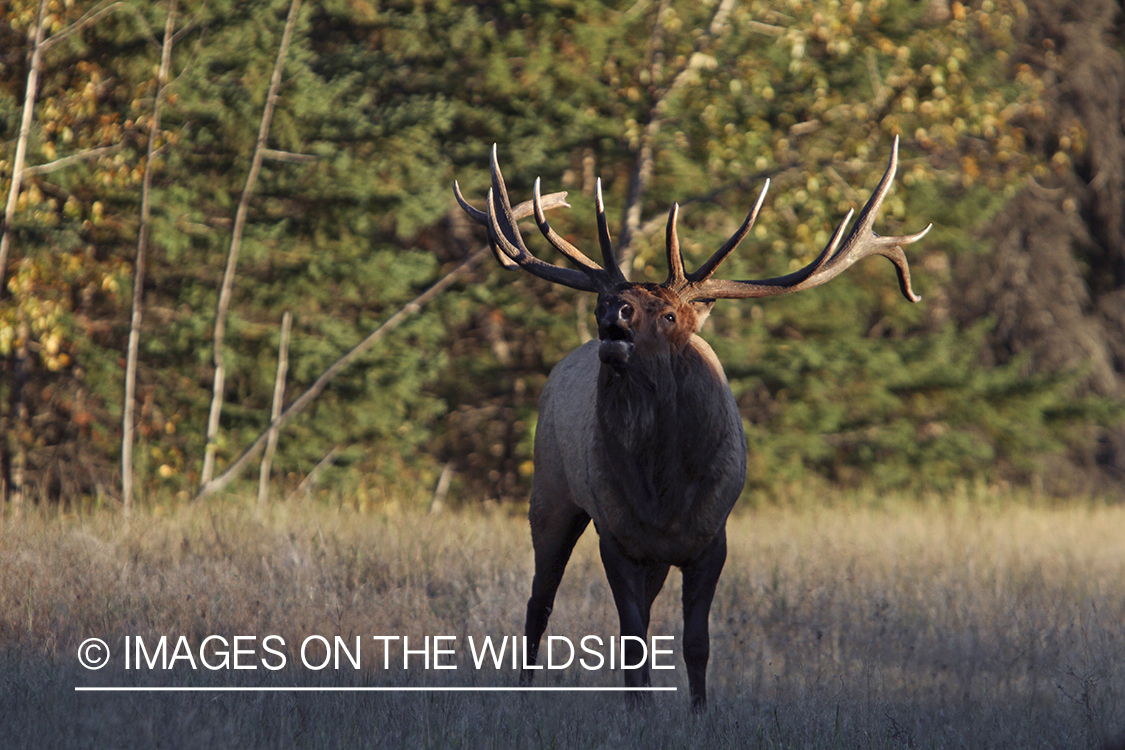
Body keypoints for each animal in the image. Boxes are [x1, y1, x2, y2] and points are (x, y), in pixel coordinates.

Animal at [452, 136, 927, 710]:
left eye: (669, 314)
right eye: (601, 301)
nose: (615, 312)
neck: (664, 491)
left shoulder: (711, 536)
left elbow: (696, 641)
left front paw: (698, 710)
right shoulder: (616, 533)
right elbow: (632, 638)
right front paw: (640, 710)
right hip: (549, 491)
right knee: (537, 603)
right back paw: (523, 691)